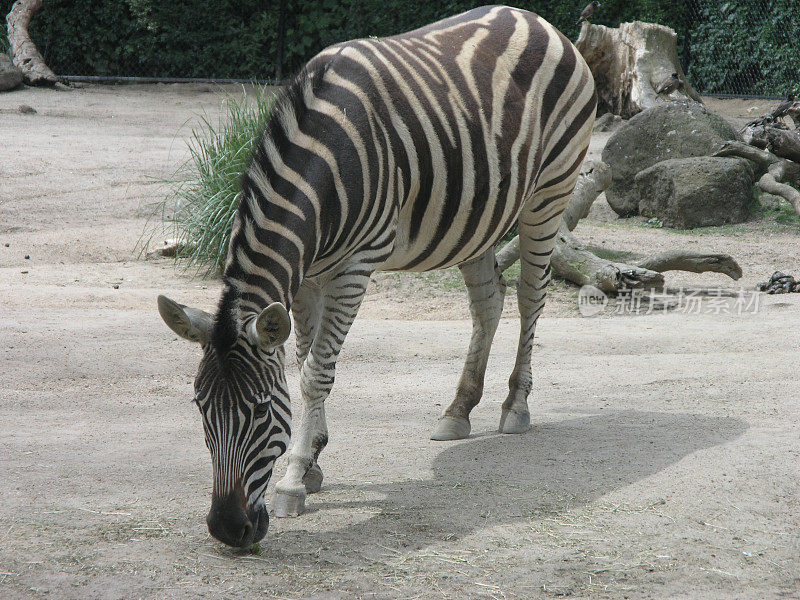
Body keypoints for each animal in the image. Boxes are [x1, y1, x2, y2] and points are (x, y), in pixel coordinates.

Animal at [158, 5, 592, 548]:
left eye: (258, 410)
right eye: (200, 407)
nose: (226, 529)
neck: (322, 169)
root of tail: (535, 19)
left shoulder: (354, 268)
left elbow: (316, 374)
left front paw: (294, 479)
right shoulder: (308, 276)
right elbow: (304, 360)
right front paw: (313, 461)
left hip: (549, 192)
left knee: (533, 295)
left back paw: (515, 405)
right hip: (477, 215)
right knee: (489, 302)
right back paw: (458, 410)